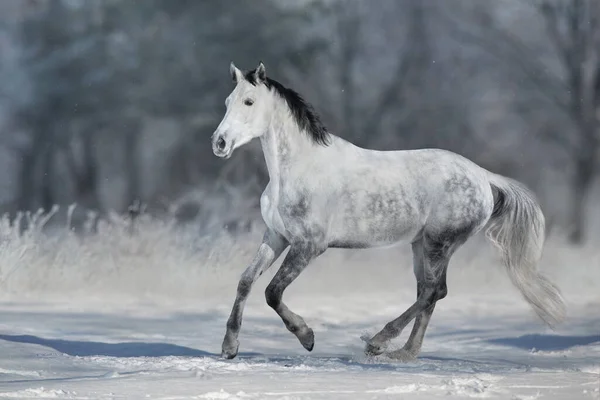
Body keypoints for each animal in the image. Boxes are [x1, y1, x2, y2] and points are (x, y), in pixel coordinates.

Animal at [212, 61, 568, 360]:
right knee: (431, 292)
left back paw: (378, 342)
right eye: (228, 101)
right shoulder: (276, 237)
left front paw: (307, 337)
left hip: (439, 243)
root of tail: (483, 176)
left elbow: (272, 292)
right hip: (422, 245)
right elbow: (246, 281)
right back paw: (404, 353)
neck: (297, 170)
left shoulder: (309, 246)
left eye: (249, 102)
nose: (219, 143)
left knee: (432, 291)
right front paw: (229, 347)